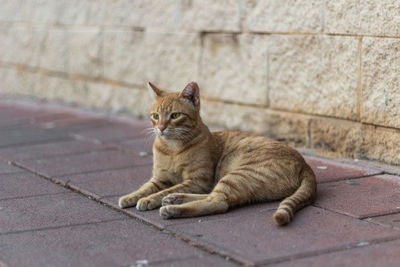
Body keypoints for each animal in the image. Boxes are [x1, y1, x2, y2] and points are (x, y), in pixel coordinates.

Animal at [117, 81, 318, 226]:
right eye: (155, 116)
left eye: (175, 116)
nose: (160, 128)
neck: (172, 149)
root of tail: (305, 164)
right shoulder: (160, 178)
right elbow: (146, 187)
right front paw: (131, 197)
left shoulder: (198, 181)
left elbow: (163, 190)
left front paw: (149, 200)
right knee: (215, 196)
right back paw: (176, 199)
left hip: (238, 175)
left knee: (219, 202)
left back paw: (173, 208)